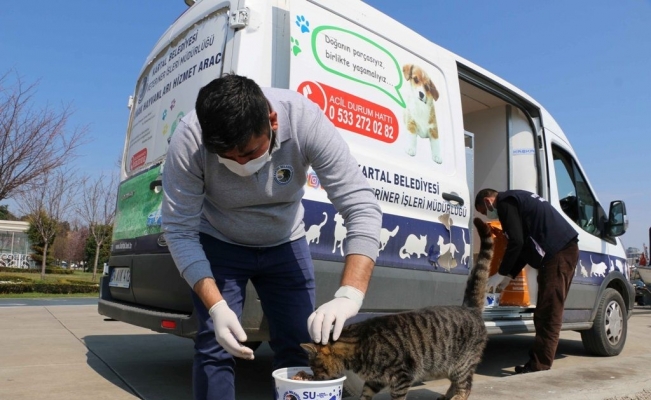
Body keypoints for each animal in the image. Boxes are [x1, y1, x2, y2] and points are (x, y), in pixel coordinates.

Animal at [304, 217, 496, 398]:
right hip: (448, 365)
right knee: (455, 383)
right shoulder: (375, 380)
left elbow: (397, 397)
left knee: (466, 386)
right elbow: (365, 394)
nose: (314, 377)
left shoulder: (402, 377)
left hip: (462, 364)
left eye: (315, 366)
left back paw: (457, 397)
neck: (357, 344)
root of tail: (469, 308)